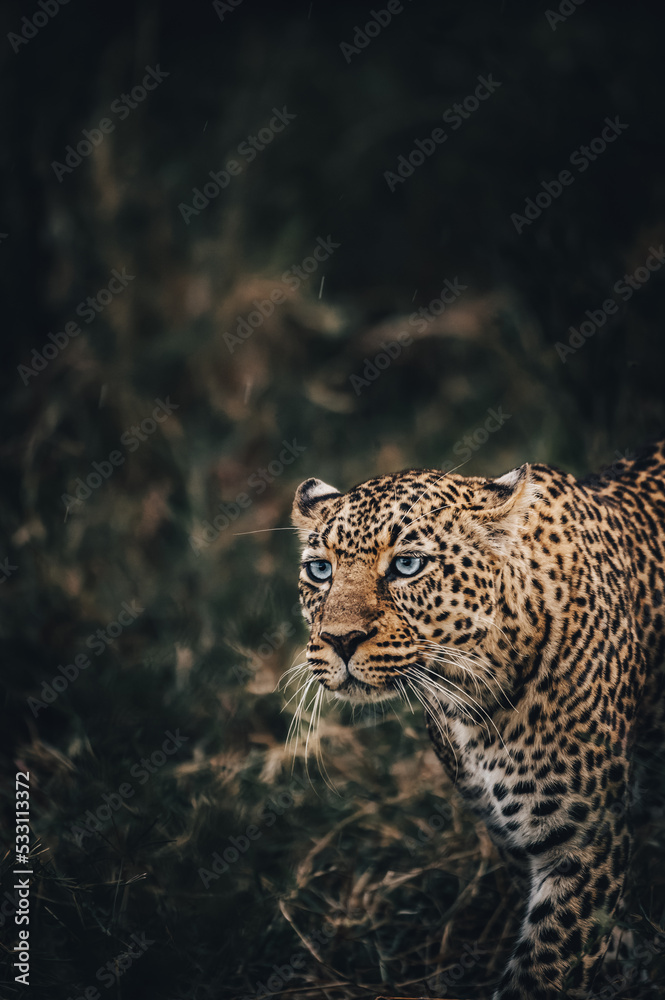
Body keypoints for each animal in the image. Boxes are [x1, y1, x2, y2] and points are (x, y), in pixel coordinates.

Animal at [289, 440, 665, 1000]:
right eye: (319, 571)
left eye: (407, 565)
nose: (339, 639)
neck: (474, 701)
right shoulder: (510, 830)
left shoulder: (586, 840)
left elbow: (548, 966)